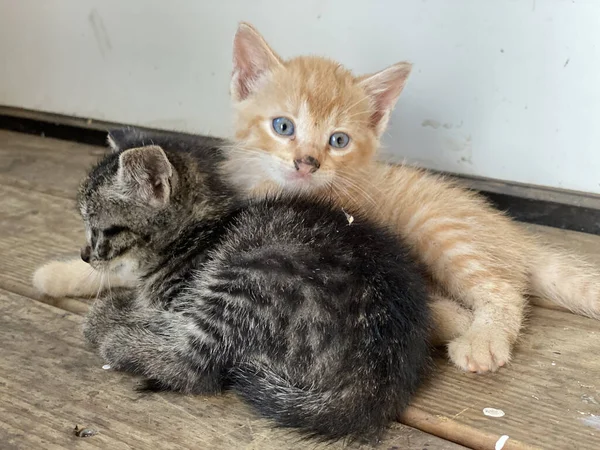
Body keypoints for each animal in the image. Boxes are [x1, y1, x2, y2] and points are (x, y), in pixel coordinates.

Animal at [79, 134, 432, 442]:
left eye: (102, 230)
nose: (84, 256)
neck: (197, 233)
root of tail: (378, 374)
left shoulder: (182, 301)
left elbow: (136, 312)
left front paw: (108, 316)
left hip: (248, 275)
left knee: (195, 367)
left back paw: (121, 345)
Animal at [221, 22, 600, 372]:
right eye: (283, 126)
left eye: (339, 141)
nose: (307, 162)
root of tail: (515, 236)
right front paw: (454, 319)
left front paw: (458, 323)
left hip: (440, 228)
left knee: (503, 288)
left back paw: (483, 339)